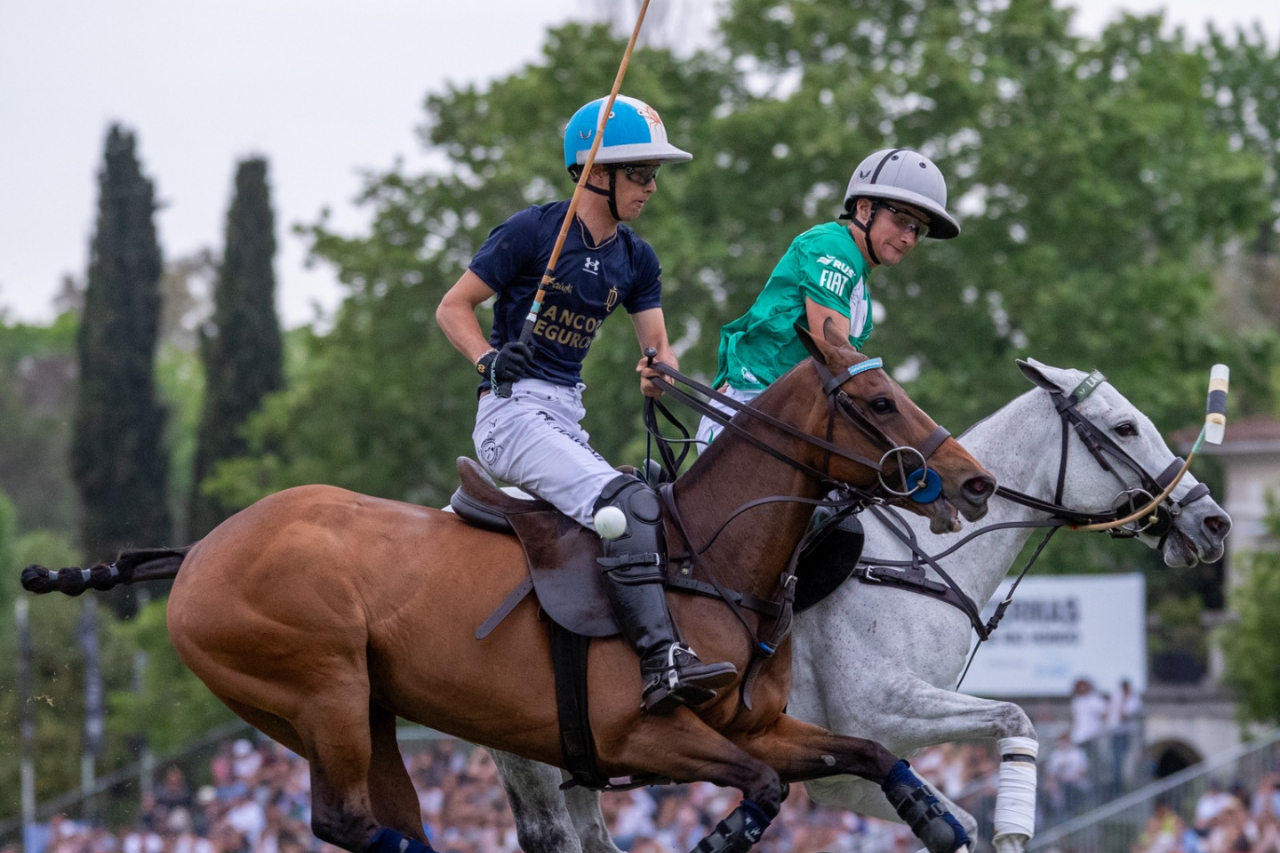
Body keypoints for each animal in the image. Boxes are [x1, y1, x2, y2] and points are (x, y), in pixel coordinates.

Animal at [22, 325, 998, 850]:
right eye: (879, 402)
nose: (975, 479)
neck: (704, 561)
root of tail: (197, 553)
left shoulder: (758, 725)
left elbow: (867, 753)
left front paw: (938, 817)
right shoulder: (643, 734)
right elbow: (762, 790)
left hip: (358, 711)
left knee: (379, 815)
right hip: (319, 689)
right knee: (343, 819)